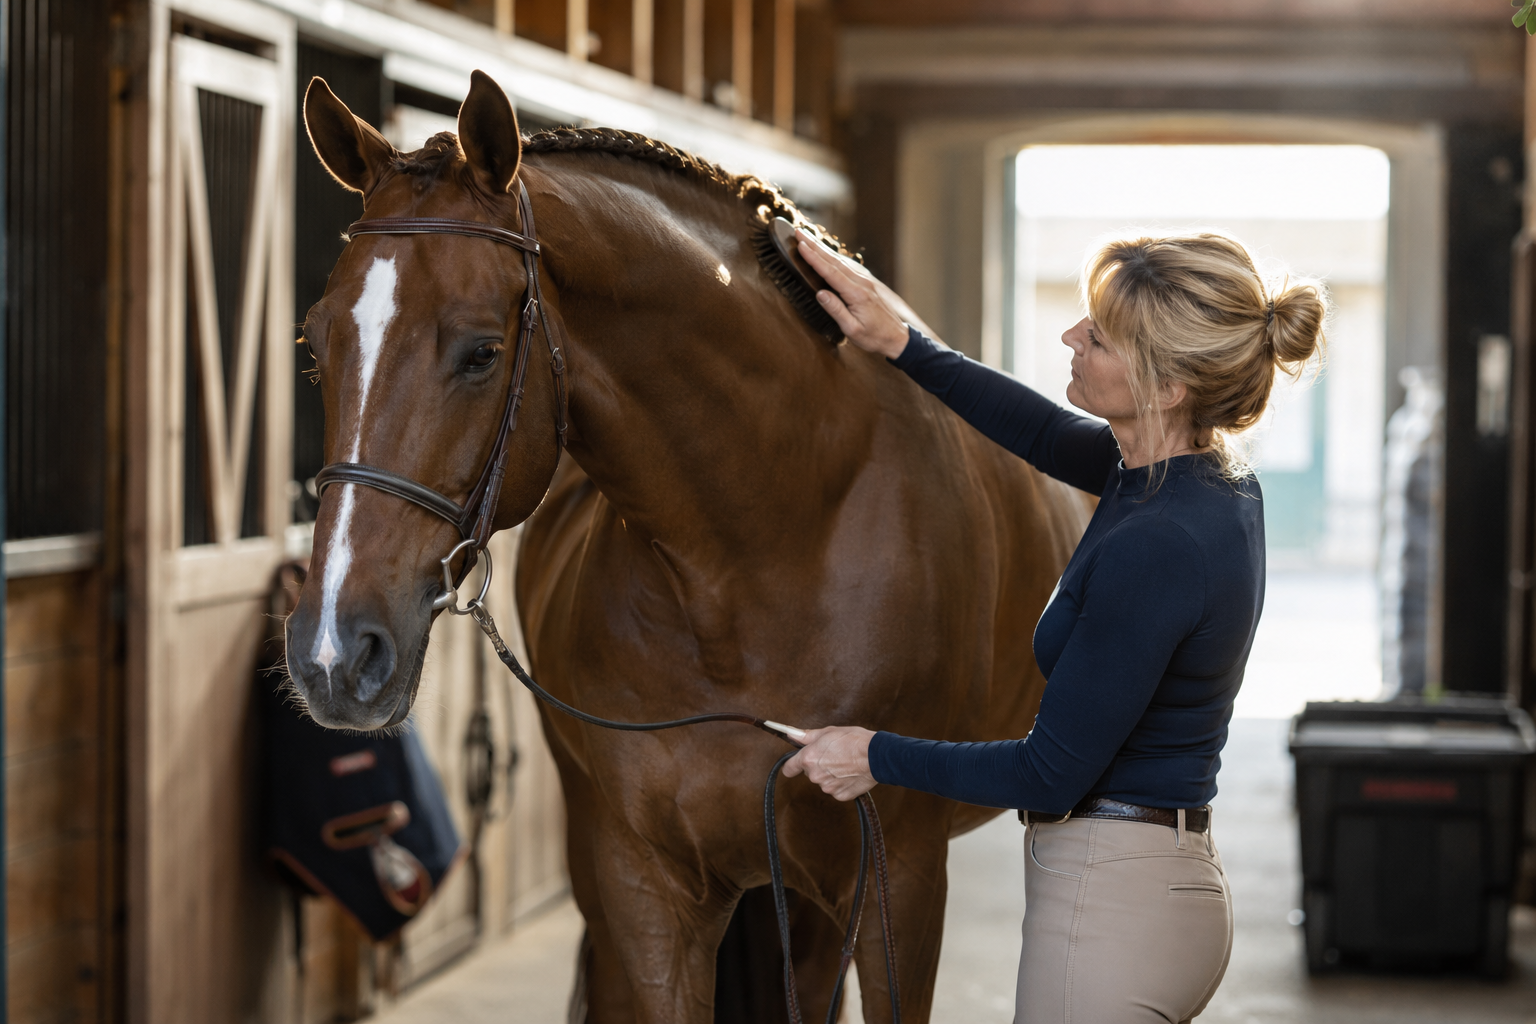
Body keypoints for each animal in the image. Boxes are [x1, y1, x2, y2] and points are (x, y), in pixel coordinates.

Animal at [283, 70, 1089, 1023]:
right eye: (314, 344)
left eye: (481, 352)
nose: (333, 652)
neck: (762, 556)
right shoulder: (646, 890)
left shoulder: (901, 883)